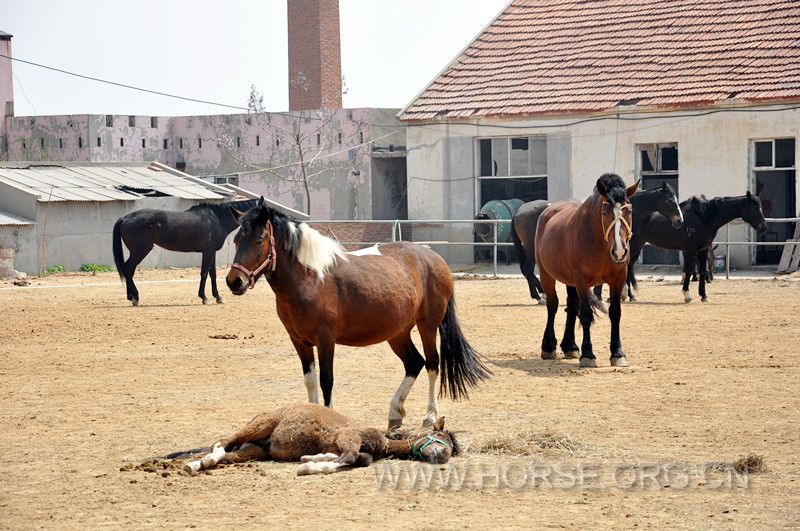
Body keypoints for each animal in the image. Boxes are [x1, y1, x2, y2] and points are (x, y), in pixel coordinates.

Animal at [111, 200, 256, 308]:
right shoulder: (207, 251)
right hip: (140, 251)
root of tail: (124, 218)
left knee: (128, 270)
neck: (217, 219)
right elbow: (204, 273)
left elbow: (213, 273)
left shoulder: (212, 252)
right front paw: (204, 297)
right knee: (128, 269)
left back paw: (131, 297)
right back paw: (135, 297)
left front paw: (218, 297)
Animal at [222, 198, 490, 428]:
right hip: (397, 332)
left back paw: (429, 417)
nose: (234, 281)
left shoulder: (326, 339)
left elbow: (326, 380)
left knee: (433, 364)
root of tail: (435, 258)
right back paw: (395, 413)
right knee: (414, 363)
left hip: (428, 326)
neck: (310, 278)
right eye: (236, 240)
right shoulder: (299, 341)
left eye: (259, 240)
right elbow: (310, 381)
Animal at [536, 175, 640, 370]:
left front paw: (618, 353)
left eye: (629, 210)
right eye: (604, 211)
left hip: (569, 280)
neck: (600, 244)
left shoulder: (618, 279)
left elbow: (615, 313)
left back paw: (570, 346)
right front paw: (588, 355)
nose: (619, 251)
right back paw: (548, 346)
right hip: (547, 275)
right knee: (552, 305)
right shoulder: (581, 281)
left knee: (570, 305)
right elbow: (585, 314)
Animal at [628, 193, 764, 304]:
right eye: (754, 207)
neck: (703, 217)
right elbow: (688, 271)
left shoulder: (703, 249)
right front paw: (687, 295)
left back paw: (631, 295)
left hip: (638, 247)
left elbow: (703, 271)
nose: (764, 227)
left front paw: (704, 296)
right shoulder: (690, 249)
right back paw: (630, 295)